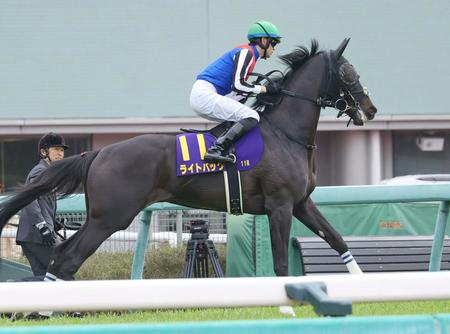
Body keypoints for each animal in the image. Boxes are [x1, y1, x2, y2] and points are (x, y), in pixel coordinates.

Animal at [0, 38, 376, 280]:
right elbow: (282, 263)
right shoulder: (280, 206)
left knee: (64, 256)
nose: (370, 110)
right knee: (67, 258)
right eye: (348, 73)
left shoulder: (301, 203)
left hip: (102, 217)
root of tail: (100, 152)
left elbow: (338, 239)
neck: (287, 134)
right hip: (111, 217)